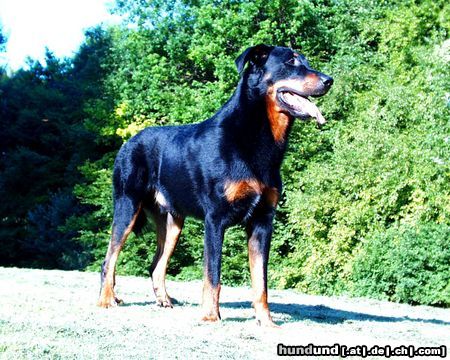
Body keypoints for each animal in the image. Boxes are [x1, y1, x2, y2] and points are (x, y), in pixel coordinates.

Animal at [96, 44, 332, 326]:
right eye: (291, 62)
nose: (329, 80)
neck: (254, 136)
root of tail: (127, 143)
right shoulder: (215, 220)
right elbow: (213, 275)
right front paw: (210, 317)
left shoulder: (263, 222)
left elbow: (261, 282)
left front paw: (266, 321)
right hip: (127, 206)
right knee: (109, 260)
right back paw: (106, 300)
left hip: (172, 222)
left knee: (156, 265)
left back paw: (163, 300)